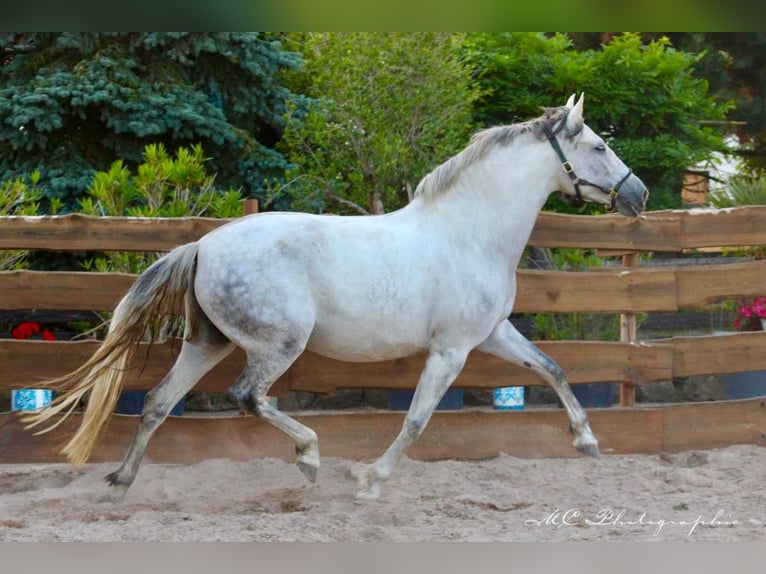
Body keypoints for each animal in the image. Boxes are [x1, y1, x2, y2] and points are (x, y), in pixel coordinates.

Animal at [27, 94, 648, 500]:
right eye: (598, 146)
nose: (638, 195)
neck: (468, 232)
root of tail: (203, 244)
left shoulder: (491, 334)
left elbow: (553, 369)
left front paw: (588, 442)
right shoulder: (451, 350)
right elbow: (417, 420)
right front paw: (370, 480)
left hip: (207, 342)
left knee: (158, 401)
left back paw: (121, 483)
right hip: (279, 344)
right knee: (247, 396)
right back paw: (310, 457)